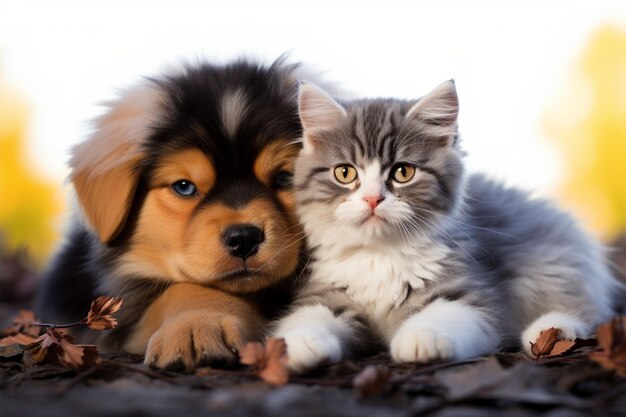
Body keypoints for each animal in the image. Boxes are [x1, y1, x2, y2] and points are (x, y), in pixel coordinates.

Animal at [272, 79, 620, 372]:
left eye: (403, 172)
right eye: (345, 173)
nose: (372, 199)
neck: (379, 256)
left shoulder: (469, 293)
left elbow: (446, 314)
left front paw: (420, 337)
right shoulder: (326, 291)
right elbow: (308, 317)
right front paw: (297, 344)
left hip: (554, 263)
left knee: (586, 310)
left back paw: (550, 333)